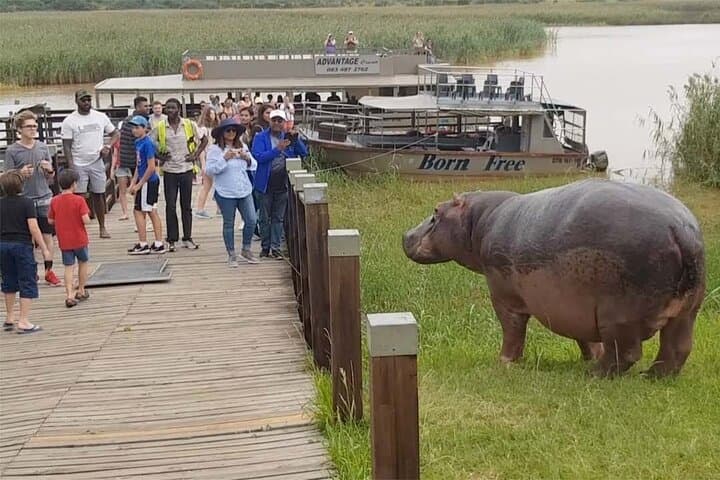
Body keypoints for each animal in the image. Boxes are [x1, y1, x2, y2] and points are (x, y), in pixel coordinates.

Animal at [403, 179, 705, 377]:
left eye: (436, 212)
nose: (405, 235)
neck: (480, 221)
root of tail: (680, 230)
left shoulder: (504, 297)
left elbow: (512, 331)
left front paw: (503, 363)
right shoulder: (574, 307)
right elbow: (585, 338)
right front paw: (588, 358)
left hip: (618, 315)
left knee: (627, 352)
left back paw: (594, 375)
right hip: (687, 312)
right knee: (677, 349)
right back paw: (651, 377)